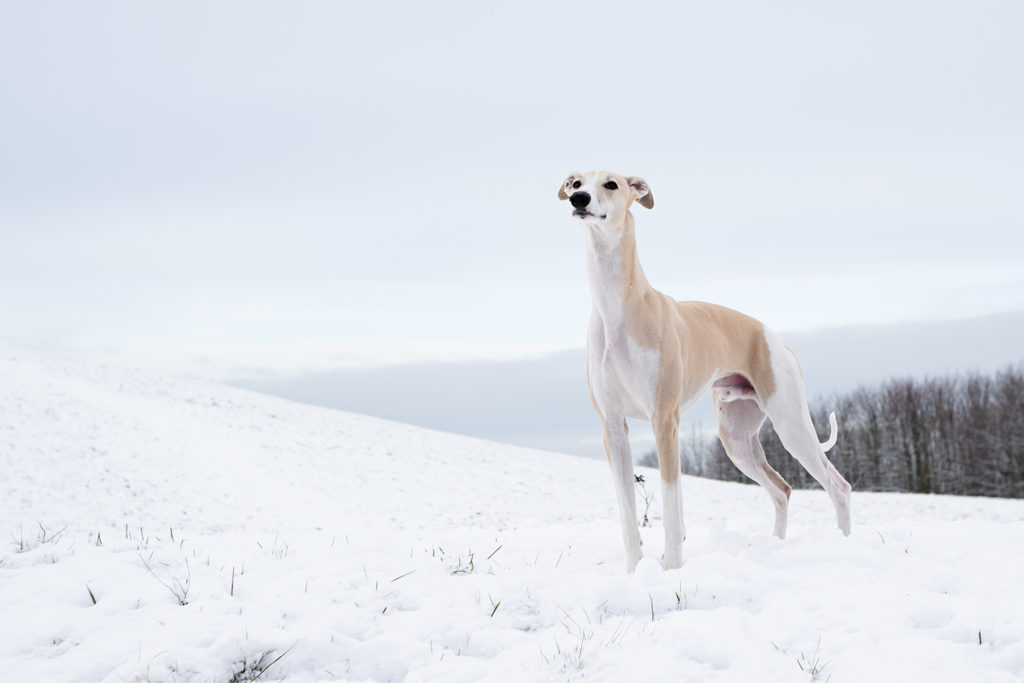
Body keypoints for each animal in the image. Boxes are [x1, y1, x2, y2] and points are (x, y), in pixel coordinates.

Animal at [557, 169, 851, 573]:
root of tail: (777, 339)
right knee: (781, 489)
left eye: (611, 184)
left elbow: (670, 502)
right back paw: (776, 546)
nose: (579, 200)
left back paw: (846, 544)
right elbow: (627, 512)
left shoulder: (664, 421)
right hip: (736, 438)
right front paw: (635, 571)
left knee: (838, 486)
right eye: (575, 183)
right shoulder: (613, 427)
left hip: (791, 424)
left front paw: (671, 567)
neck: (618, 306)